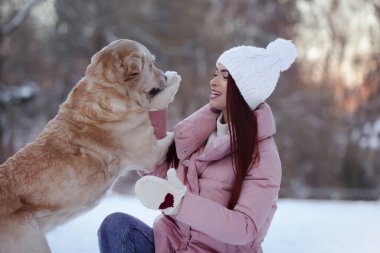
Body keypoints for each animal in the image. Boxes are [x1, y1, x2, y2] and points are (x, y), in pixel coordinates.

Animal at [0, 39, 181, 253]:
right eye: (151, 65)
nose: (164, 76)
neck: (110, 90)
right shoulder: (151, 153)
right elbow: (171, 132)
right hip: (33, 244)